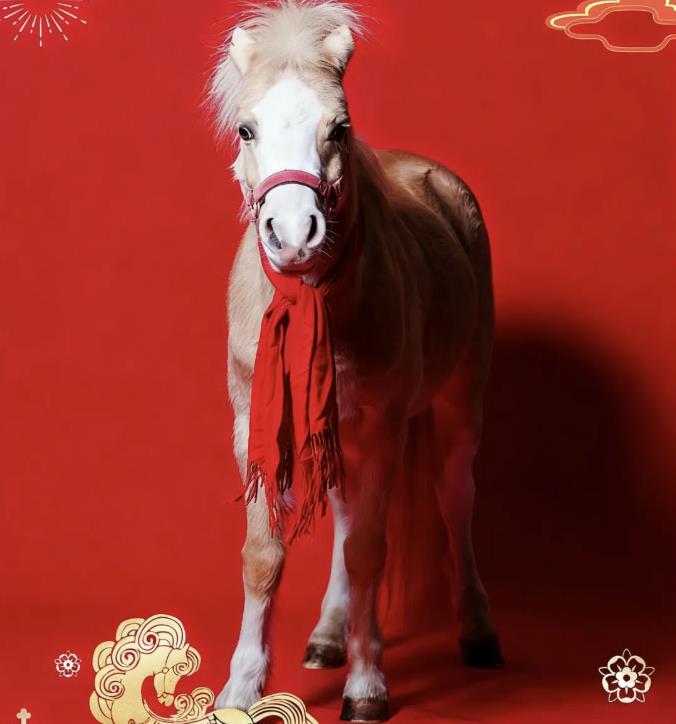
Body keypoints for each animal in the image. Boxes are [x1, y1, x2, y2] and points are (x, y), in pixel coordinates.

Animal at [208, 2, 502, 720]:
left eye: (338, 128)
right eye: (247, 129)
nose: (293, 233)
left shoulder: (384, 425)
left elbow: (370, 550)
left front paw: (368, 685)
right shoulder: (255, 428)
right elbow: (264, 554)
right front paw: (242, 686)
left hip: (459, 404)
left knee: (455, 499)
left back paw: (477, 630)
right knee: (345, 516)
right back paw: (328, 634)